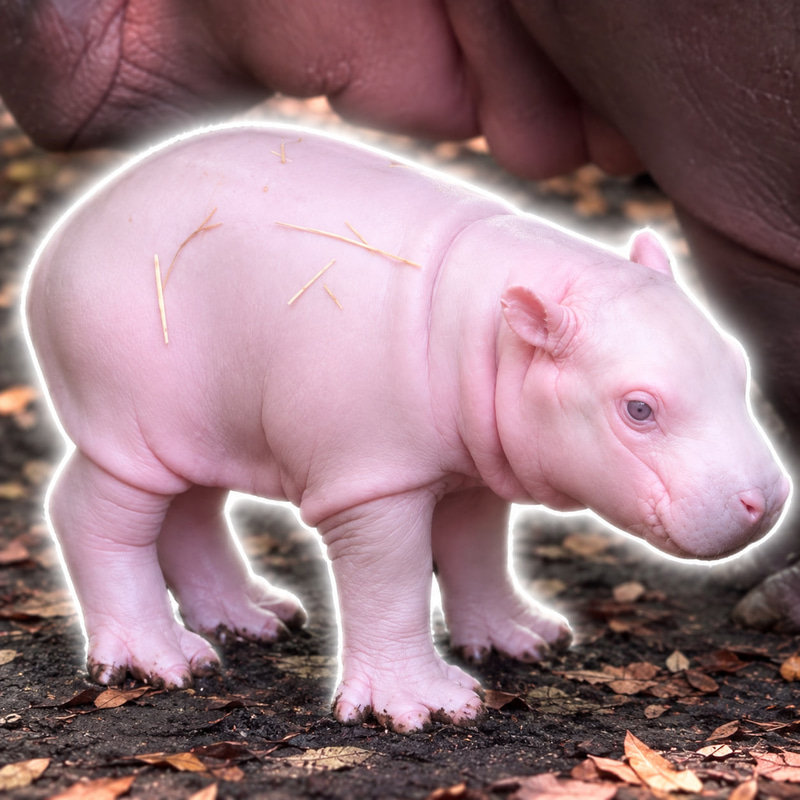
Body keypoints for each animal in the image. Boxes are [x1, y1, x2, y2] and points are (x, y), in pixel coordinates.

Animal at [22, 124, 790, 732]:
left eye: (737, 358)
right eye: (638, 408)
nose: (772, 498)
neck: (493, 326)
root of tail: (56, 242)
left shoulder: (475, 469)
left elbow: (478, 549)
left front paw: (524, 642)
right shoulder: (371, 482)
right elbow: (391, 585)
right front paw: (428, 709)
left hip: (204, 423)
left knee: (193, 511)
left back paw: (258, 620)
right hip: (128, 425)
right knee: (92, 514)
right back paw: (166, 664)